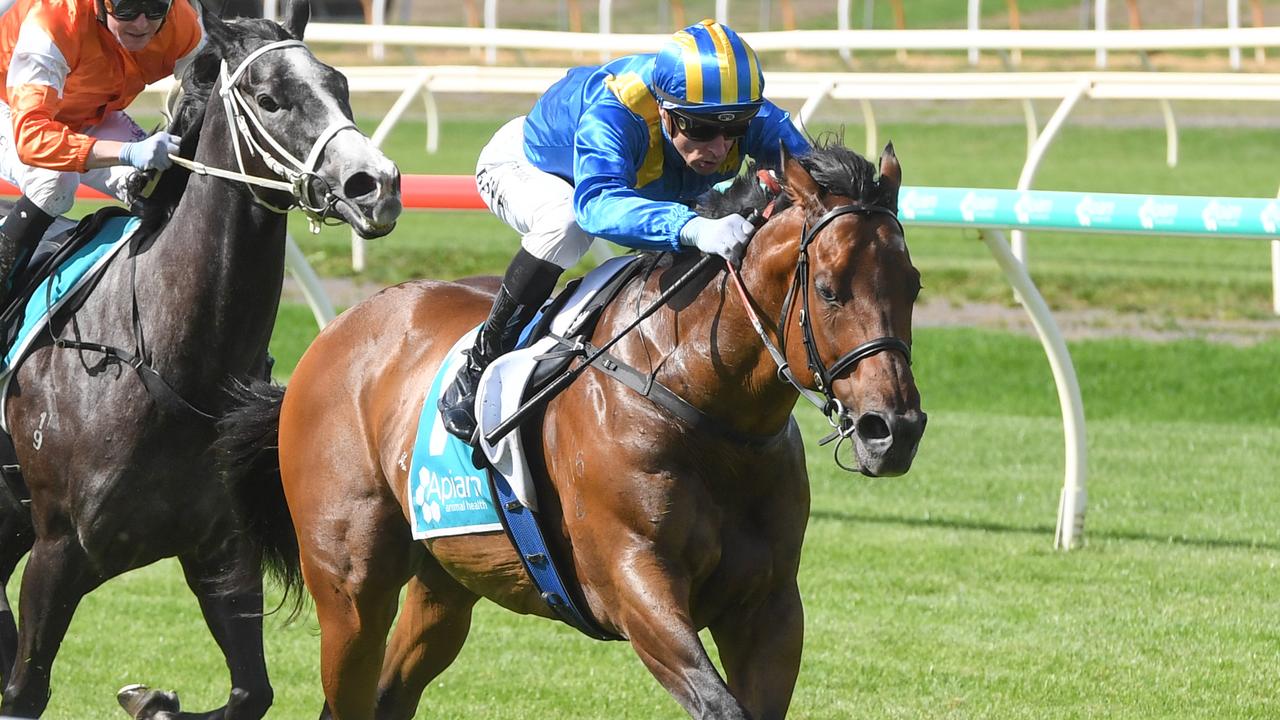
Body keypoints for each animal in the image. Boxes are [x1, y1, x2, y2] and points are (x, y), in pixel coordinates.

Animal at [0, 2, 401, 712]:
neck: (171, 363)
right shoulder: (57, 551)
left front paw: (150, 700)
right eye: (269, 99)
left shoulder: (223, 553)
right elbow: (24, 692)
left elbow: (251, 693)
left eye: (341, 84)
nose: (374, 186)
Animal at [220, 137, 921, 712]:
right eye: (829, 290)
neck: (706, 411)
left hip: (446, 583)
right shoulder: (635, 583)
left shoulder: (769, 608)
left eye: (911, 285)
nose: (894, 429)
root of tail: (334, 334)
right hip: (350, 587)